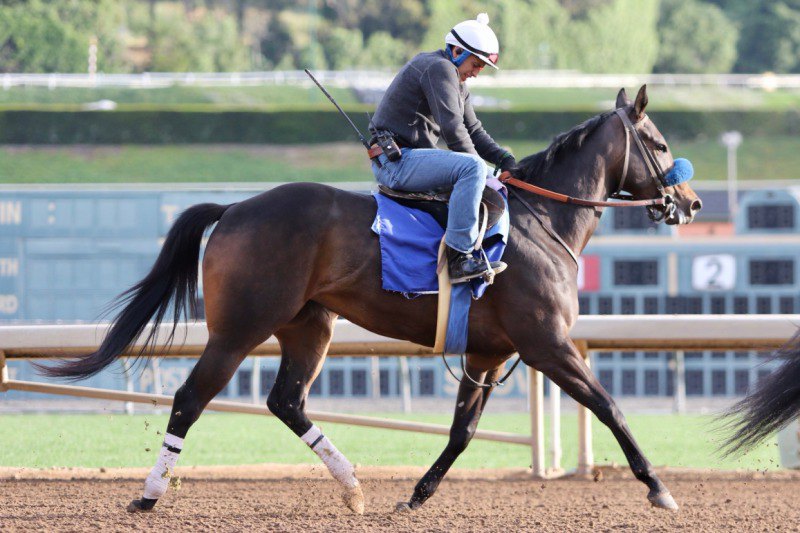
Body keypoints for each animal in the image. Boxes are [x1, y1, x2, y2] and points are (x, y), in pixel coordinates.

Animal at [40, 85, 700, 512]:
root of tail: (234, 209)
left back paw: (353, 486)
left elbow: (462, 432)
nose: (690, 203)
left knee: (287, 401)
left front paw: (416, 496)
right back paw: (150, 495)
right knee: (189, 399)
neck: (542, 223)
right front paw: (660, 489)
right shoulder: (548, 344)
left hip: (309, 327)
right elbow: (611, 407)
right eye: (660, 143)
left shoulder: (488, 353)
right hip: (238, 329)